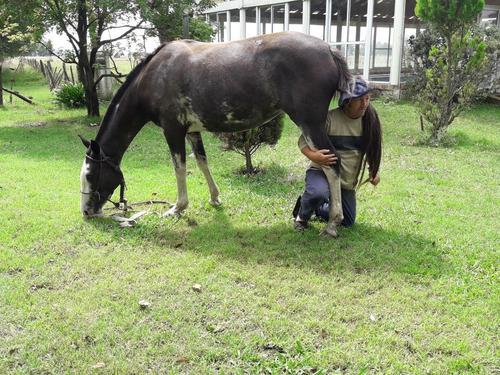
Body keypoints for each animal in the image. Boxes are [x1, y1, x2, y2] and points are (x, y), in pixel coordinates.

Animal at [79, 33, 352, 238]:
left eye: (91, 175)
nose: (87, 212)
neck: (154, 76)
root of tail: (329, 50)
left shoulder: (172, 130)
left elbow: (179, 167)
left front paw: (178, 208)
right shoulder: (192, 131)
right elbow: (202, 162)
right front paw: (215, 198)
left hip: (310, 123)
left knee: (332, 164)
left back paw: (333, 223)